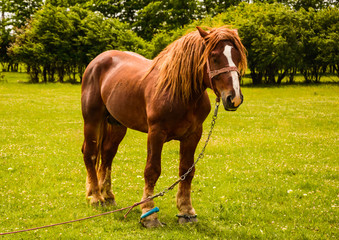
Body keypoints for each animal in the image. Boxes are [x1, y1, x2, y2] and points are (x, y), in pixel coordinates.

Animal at [81, 26, 248, 227]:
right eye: (214, 56)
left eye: (237, 56)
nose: (234, 98)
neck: (180, 93)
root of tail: (96, 61)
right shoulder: (156, 133)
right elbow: (152, 170)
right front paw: (149, 214)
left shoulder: (193, 135)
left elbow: (186, 171)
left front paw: (186, 212)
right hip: (92, 120)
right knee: (90, 153)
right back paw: (96, 197)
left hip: (117, 124)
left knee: (107, 156)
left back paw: (108, 196)